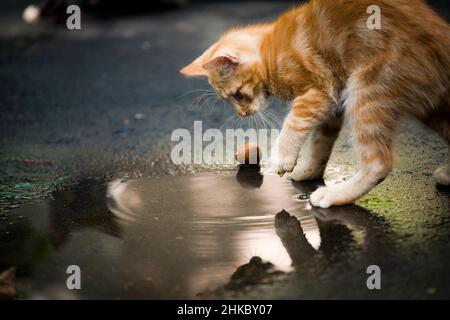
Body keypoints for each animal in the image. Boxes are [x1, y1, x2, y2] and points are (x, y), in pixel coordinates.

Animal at [181, 0, 450, 209]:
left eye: (237, 95)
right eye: (230, 99)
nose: (243, 114)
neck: (271, 49)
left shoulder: (320, 92)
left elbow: (294, 124)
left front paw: (283, 157)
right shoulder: (333, 102)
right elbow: (320, 141)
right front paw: (309, 170)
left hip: (367, 91)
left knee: (378, 164)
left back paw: (336, 195)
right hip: (432, 106)